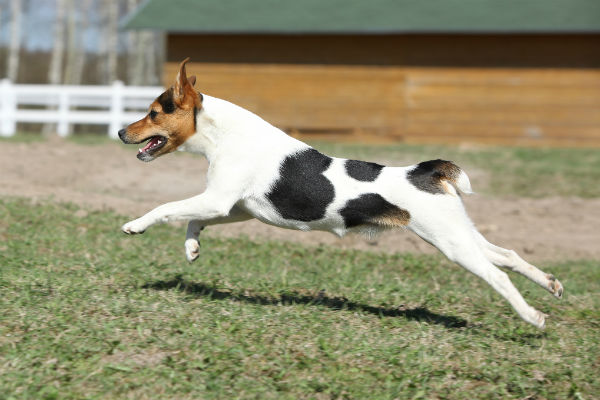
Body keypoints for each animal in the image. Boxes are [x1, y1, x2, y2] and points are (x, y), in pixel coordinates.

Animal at [118, 58, 564, 328]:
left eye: (153, 113)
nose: (121, 132)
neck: (224, 134)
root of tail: (426, 171)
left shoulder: (219, 199)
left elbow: (167, 207)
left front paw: (135, 225)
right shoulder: (237, 207)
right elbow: (192, 219)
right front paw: (192, 248)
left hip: (451, 243)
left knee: (497, 275)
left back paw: (533, 316)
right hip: (458, 232)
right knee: (508, 256)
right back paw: (551, 285)